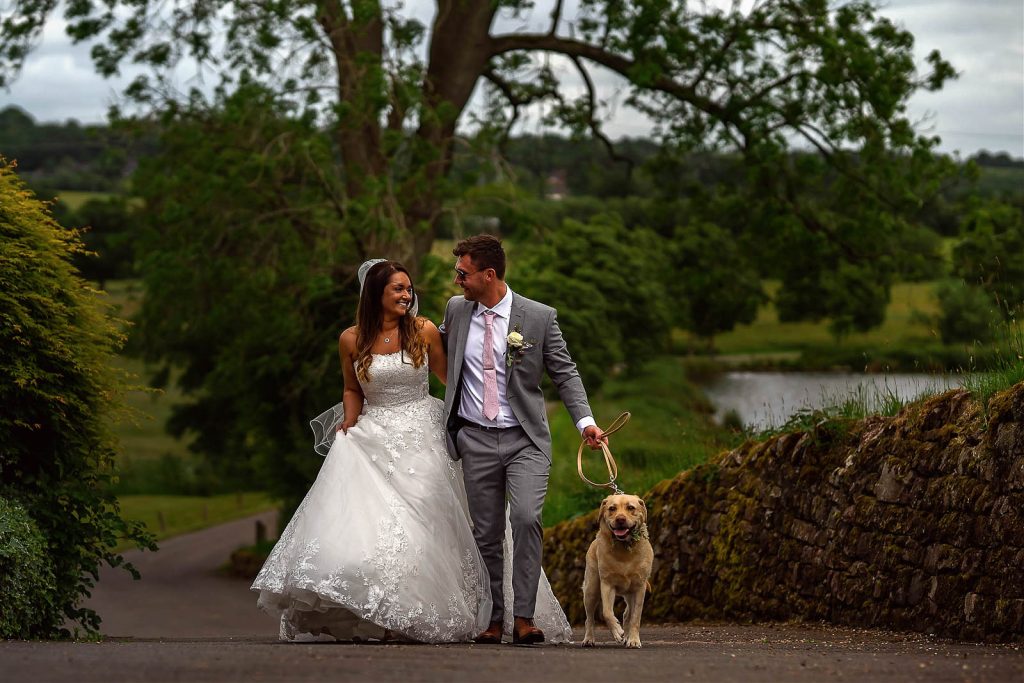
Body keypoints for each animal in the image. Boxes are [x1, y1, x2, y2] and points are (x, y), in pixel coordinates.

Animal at [581, 493, 651, 651]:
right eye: (612, 508)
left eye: (631, 508)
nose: (620, 519)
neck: (624, 549)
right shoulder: (607, 584)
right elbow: (607, 613)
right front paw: (618, 632)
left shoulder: (639, 587)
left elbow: (635, 617)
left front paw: (633, 640)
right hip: (591, 589)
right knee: (589, 618)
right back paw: (589, 639)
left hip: (630, 593)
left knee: (627, 614)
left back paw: (627, 636)